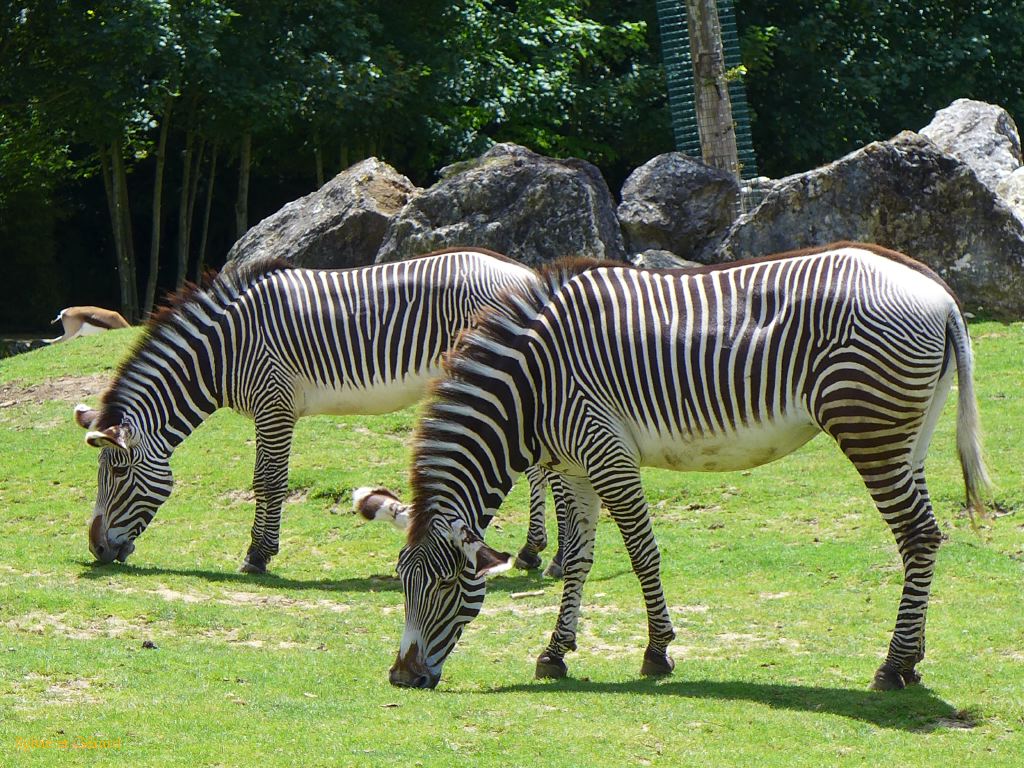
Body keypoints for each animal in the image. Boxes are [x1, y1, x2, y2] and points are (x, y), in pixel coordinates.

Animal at [74, 249, 561, 573]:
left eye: (117, 472)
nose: (96, 551)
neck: (221, 353)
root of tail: (526, 274)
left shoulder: (274, 404)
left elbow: (267, 481)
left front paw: (258, 556)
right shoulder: (273, 408)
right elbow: (267, 479)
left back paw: (546, 555)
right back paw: (534, 551)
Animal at [387, 244, 987, 692]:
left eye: (445, 584)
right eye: (403, 583)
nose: (399, 678)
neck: (530, 388)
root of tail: (937, 291)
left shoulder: (606, 450)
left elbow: (641, 553)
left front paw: (656, 652)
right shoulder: (575, 467)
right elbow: (577, 559)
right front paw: (556, 653)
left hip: (870, 428)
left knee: (916, 535)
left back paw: (893, 665)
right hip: (908, 434)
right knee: (924, 536)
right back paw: (913, 657)